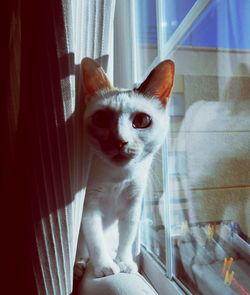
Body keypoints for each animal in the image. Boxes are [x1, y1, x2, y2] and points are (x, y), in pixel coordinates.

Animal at [74, 56, 175, 280]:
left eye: (142, 121)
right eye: (101, 119)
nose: (120, 141)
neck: (118, 177)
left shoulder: (132, 207)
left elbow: (127, 239)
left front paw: (124, 263)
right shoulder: (90, 206)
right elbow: (95, 240)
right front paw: (105, 266)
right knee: (83, 249)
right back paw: (80, 266)